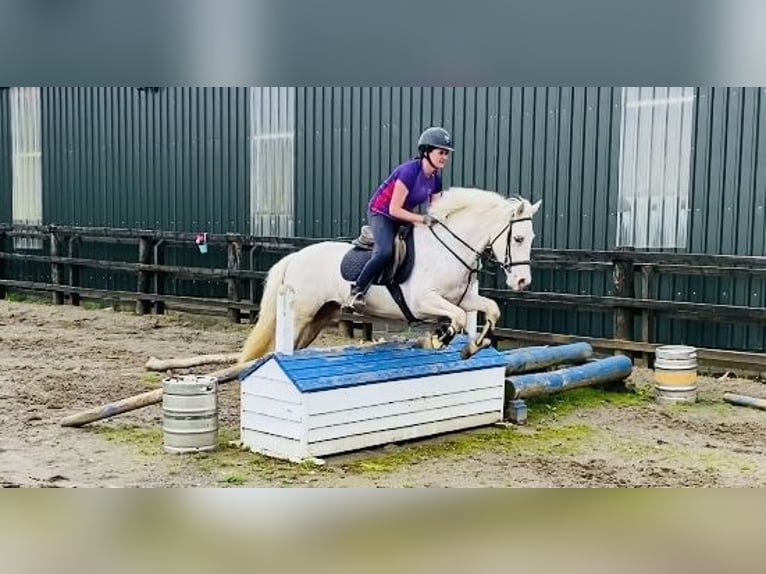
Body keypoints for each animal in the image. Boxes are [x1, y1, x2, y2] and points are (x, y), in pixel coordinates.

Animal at [238, 188, 540, 364]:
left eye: (532, 238)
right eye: (519, 238)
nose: (523, 282)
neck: (448, 248)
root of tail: (295, 258)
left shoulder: (463, 300)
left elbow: (491, 309)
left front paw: (474, 346)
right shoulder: (424, 301)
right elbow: (454, 318)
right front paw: (436, 338)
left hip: (320, 317)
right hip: (301, 314)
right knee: (278, 346)